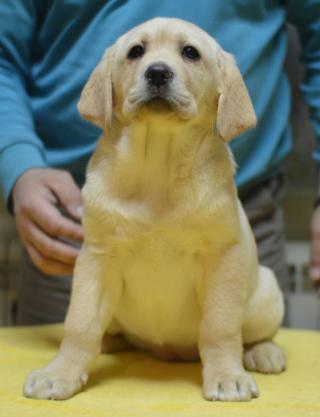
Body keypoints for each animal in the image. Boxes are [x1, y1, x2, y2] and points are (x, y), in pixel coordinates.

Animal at [24, 17, 284, 402]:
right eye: (136, 51)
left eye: (190, 52)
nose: (158, 72)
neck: (158, 166)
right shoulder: (97, 258)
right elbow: (80, 324)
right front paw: (59, 373)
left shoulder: (222, 257)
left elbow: (220, 328)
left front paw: (226, 376)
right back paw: (110, 342)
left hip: (265, 294)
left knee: (253, 334)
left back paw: (263, 353)